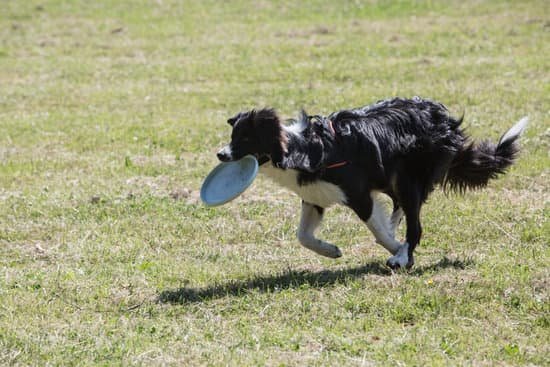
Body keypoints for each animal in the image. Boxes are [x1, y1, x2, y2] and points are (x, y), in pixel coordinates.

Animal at [218, 98, 528, 270]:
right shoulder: (314, 195)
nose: (220, 154)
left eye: (245, 138)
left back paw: (401, 254)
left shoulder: (358, 194)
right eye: (233, 136)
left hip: (407, 176)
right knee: (402, 206)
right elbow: (303, 236)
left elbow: (377, 231)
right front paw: (331, 250)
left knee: (415, 222)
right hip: (393, 176)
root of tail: (444, 119)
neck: (301, 149)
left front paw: (397, 251)